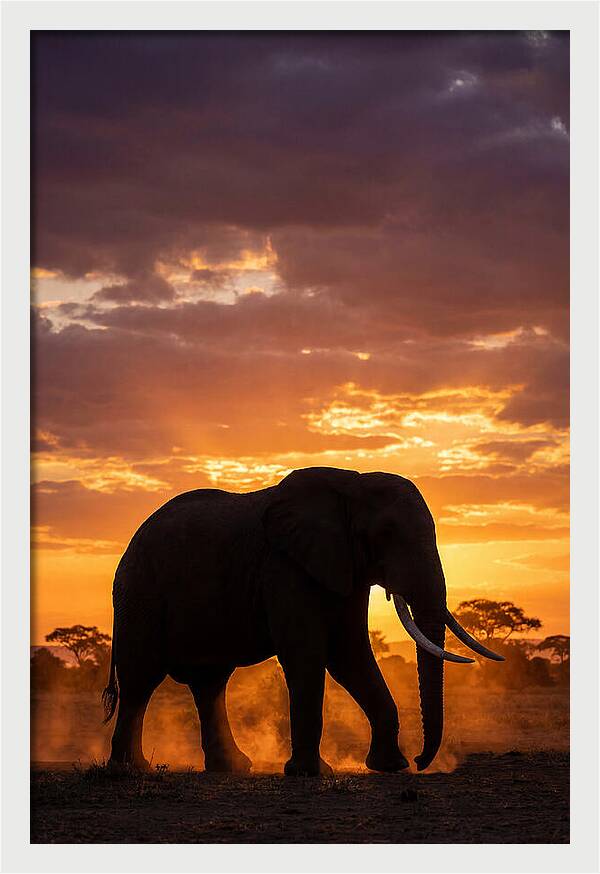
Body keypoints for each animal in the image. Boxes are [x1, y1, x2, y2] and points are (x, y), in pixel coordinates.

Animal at [102, 466, 502, 776]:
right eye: (385, 534)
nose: (421, 761)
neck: (351, 483)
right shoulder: (284, 566)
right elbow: (308, 654)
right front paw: (309, 773)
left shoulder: (343, 567)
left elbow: (350, 655)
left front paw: (391, 767)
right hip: (140, 593)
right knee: (141, 680)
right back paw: (129, 770)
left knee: (209, 683)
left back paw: (232, 767)